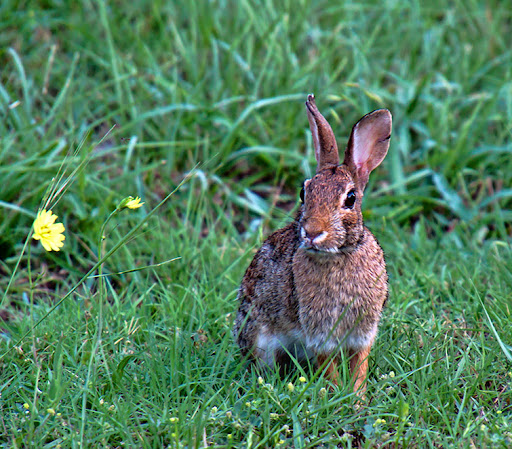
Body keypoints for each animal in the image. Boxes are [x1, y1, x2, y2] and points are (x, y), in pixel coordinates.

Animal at [233, 93, 392, 392]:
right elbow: (327, 364)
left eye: (350, 199)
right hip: (260, 337)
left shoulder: (363, 331)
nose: (312, 232)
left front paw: (357, 396)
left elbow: (360, 365)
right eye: (303, 192)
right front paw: (336, 394)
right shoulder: (318, 329)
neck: (340, 254)